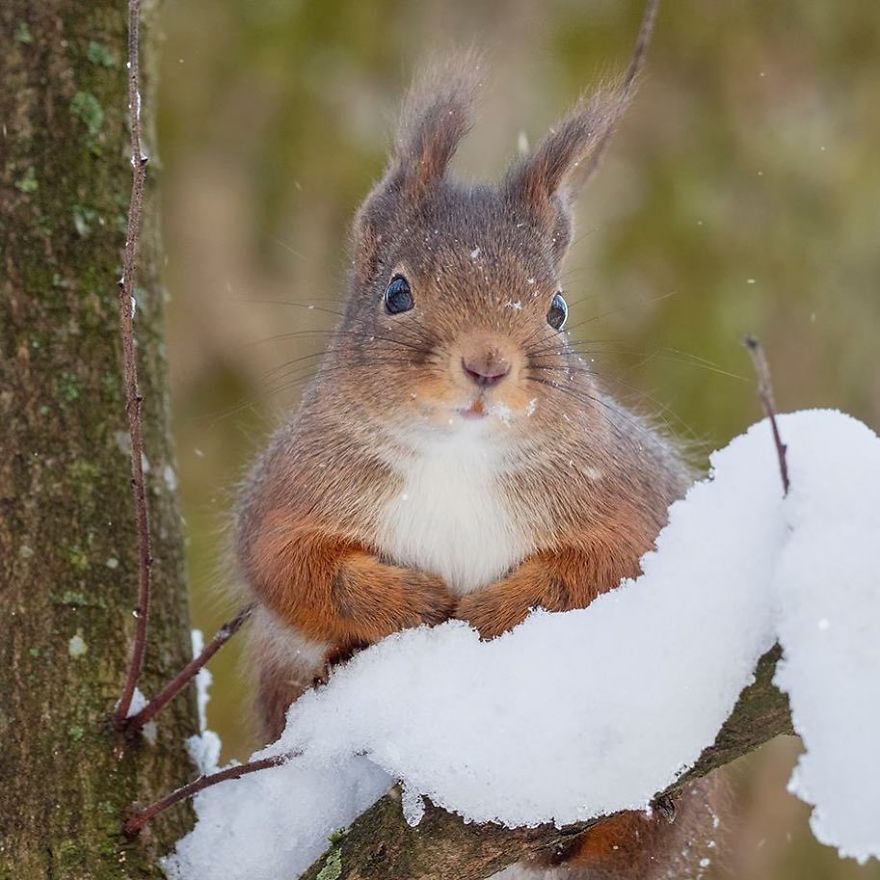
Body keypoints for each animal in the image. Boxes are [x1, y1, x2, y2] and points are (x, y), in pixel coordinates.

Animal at [235, 3, 720, 876]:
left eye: (557, 310)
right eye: (397, 293)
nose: (487, 364)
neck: (457, 459)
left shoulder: (626, 504)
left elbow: (600, 572)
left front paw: (494, 608)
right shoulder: (291, 493)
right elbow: (289, 567)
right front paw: (413, 602)